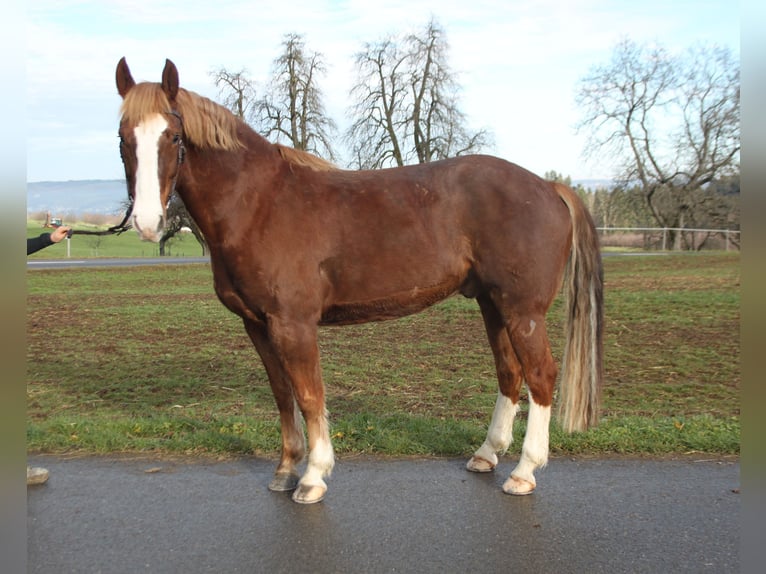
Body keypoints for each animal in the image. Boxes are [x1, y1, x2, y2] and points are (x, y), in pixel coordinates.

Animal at [115, 58, 604, 504]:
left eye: (174, 136)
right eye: (123, 137)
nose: (146, 222)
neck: (259, 204)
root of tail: (548, 187)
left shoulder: (293, 325)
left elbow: (309, 396)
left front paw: (313, 477)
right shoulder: (256, 324)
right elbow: (282, 396)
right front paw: (285, 470)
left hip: (523, 310)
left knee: (540, 376)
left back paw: (524, 472)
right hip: (493, 304)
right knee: (509, 373)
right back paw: (486, 455)